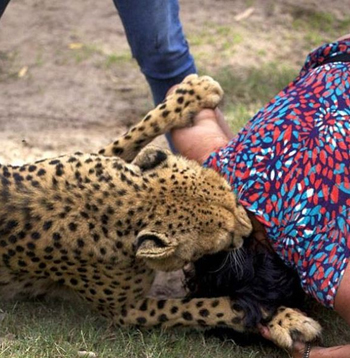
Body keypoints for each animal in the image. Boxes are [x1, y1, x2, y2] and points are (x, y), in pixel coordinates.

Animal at [0, 74, 320, 348]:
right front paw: (279, 316)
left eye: (233, 198)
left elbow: (130, 136)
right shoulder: (126, 311)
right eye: (224, 239)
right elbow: (205, 306)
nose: (250, 230)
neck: (124, 201)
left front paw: (191, 95)